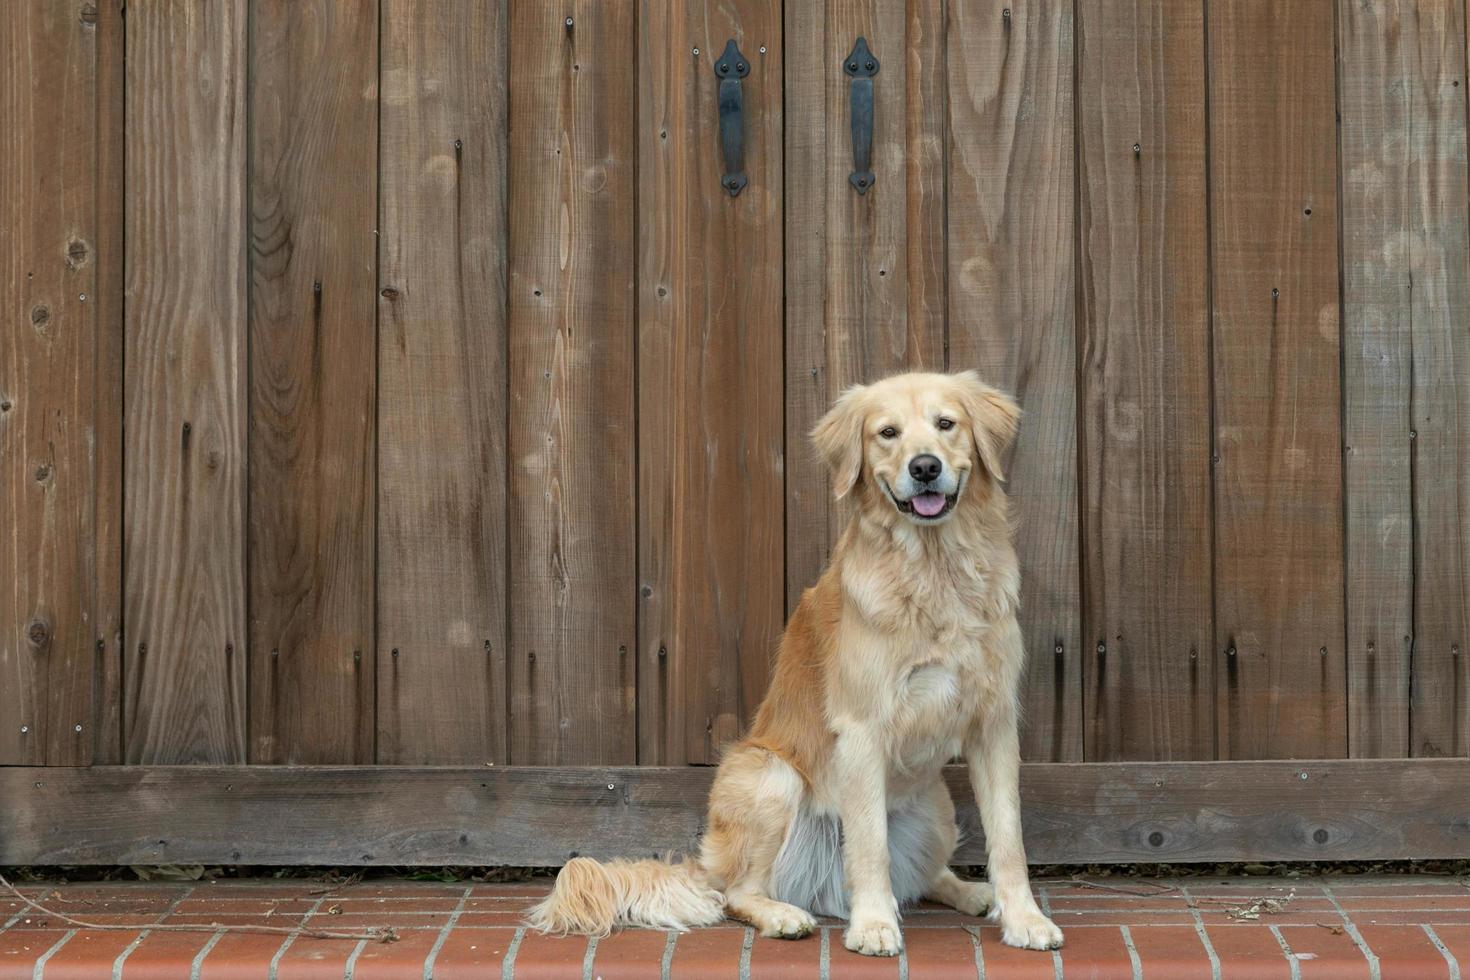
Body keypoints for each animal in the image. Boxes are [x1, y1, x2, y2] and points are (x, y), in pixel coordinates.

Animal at [523, 371, 1064, 952]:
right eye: (888, 433)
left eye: (946, 424)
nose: (924, 467)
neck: (934, 570)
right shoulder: (863, 729)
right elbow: (869, 845)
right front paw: (874, 925)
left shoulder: (994, 724)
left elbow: (1009, 838)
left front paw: (1025, 918)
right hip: (772, 777)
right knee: (737, 893)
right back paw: (785, 915)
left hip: (936, 808)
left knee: (924, 876)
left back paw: (971, 892)